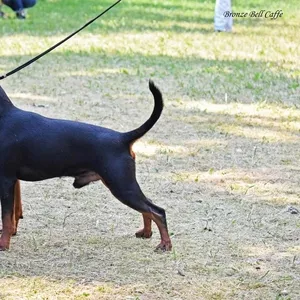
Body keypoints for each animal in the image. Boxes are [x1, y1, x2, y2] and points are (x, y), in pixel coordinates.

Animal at [0, 79, 172, 251]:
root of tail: (122, 138)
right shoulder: (13, 181)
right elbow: (14, 213)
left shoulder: (6, 180)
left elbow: (6, 217)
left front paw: (3, 244)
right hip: (123, 185)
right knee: (148, 207)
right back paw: (146, 233)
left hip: (122, 186)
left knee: (157, 211)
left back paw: (165, 244)